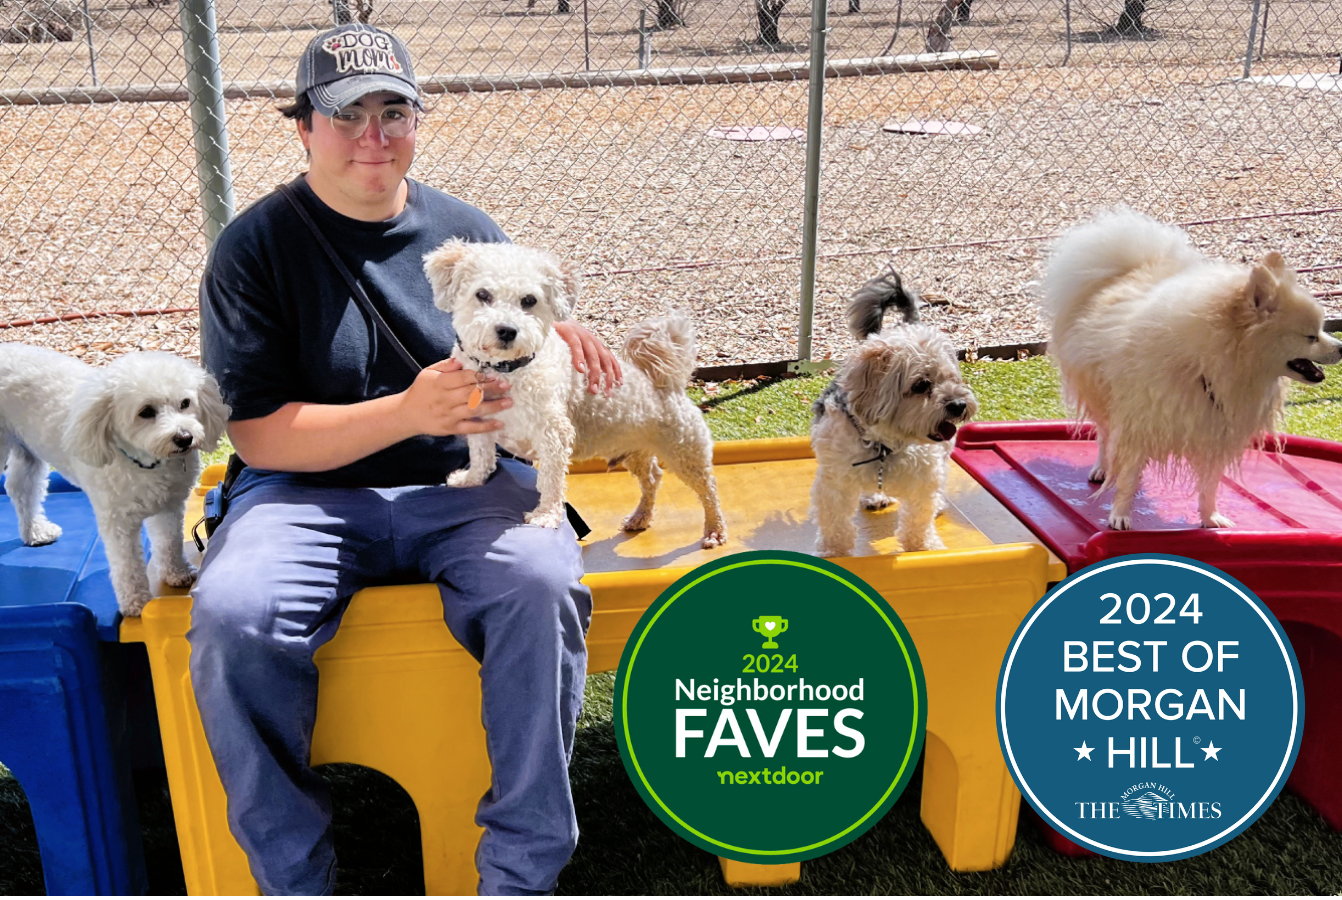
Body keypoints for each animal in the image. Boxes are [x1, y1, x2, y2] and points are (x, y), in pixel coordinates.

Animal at [0, 342, 229, 616]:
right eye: (146, 412)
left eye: (185, 403)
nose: (184, 437)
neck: (147, 462)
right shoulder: (117, 522)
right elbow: (127, 564)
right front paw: (136, 602)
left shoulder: (169, 507)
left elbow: (169, 543)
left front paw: (177, 573)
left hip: (27, 451)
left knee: (21, 488)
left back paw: (35, 531)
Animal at [424, 238, 730, 549]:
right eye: (482, 294)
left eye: (529, 300)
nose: (507, 330)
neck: (507, 370)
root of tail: (668, 382)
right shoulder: (479, 422)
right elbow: (481, 456)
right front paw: (471, 480)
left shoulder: (553, 434)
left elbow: (550, 480)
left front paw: (546, 516)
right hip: (636, 451)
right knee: (654, 478)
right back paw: (640, 517)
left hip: (685, 452)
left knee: (709, 490)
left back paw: (714, 530)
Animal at [810, 270, 982, 560]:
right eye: (921, 385)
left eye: (952, 378)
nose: (959, 405)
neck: (884, 445)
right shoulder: (835, 482)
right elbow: (835, 521)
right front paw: (834, 552)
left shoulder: (924, 476)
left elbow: (919, 517)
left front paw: (923, 547)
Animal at [1041, 207, 1336, 531]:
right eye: (1311, 336)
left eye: (1322, 330)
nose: (1341, 347)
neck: (1210, 364)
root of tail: (1130, 267)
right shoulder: (1140, 420)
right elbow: (1128, 475)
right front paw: (1120, 515)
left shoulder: (1214, 431)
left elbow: (1209, 484)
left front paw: (1210, 517)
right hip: (1103, 396)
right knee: (1105, 435)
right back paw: (1102, 468)